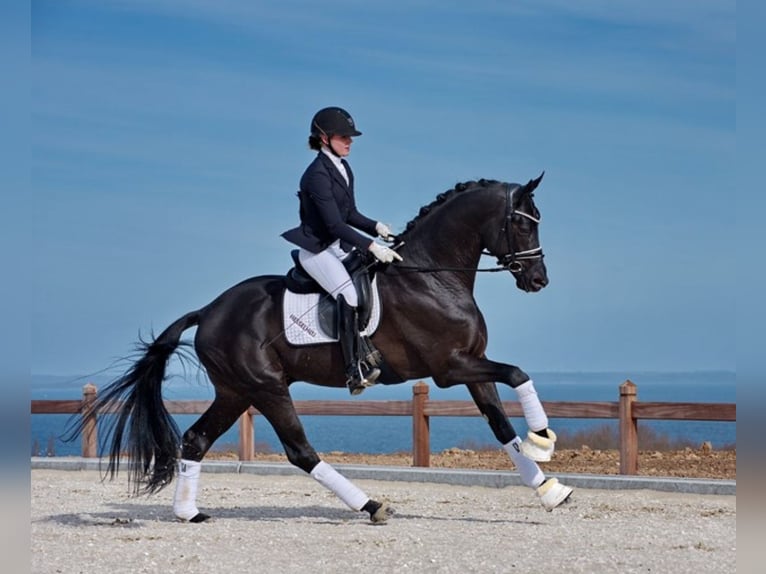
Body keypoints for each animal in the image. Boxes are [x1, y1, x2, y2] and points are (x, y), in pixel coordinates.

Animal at [69, 176, 572, 528]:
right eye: (521, 222)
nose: (538, 280)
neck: (432, 274)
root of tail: (209, 310)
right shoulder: (451, 367)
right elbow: (518, 373)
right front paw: (543, 439)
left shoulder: (471, 365)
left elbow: (500, 424)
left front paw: (548, 489)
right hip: (266, 387)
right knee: (300, 451)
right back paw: (372, 505)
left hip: (235, 391)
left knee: (195, 440)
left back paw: (189, 514)